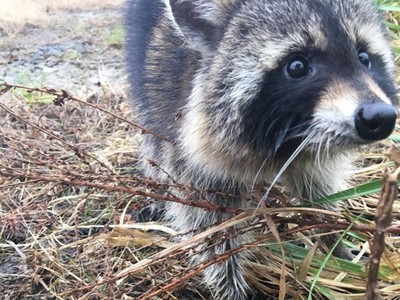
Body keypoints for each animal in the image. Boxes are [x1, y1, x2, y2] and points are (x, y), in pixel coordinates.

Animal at [124, 1, 396, 298]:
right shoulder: (185, 140)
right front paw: (229, 285)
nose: (380, 117)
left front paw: (333, 243)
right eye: (297, 66)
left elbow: (318, 192)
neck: (287, 141)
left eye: (364, 57)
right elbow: (210, 225)